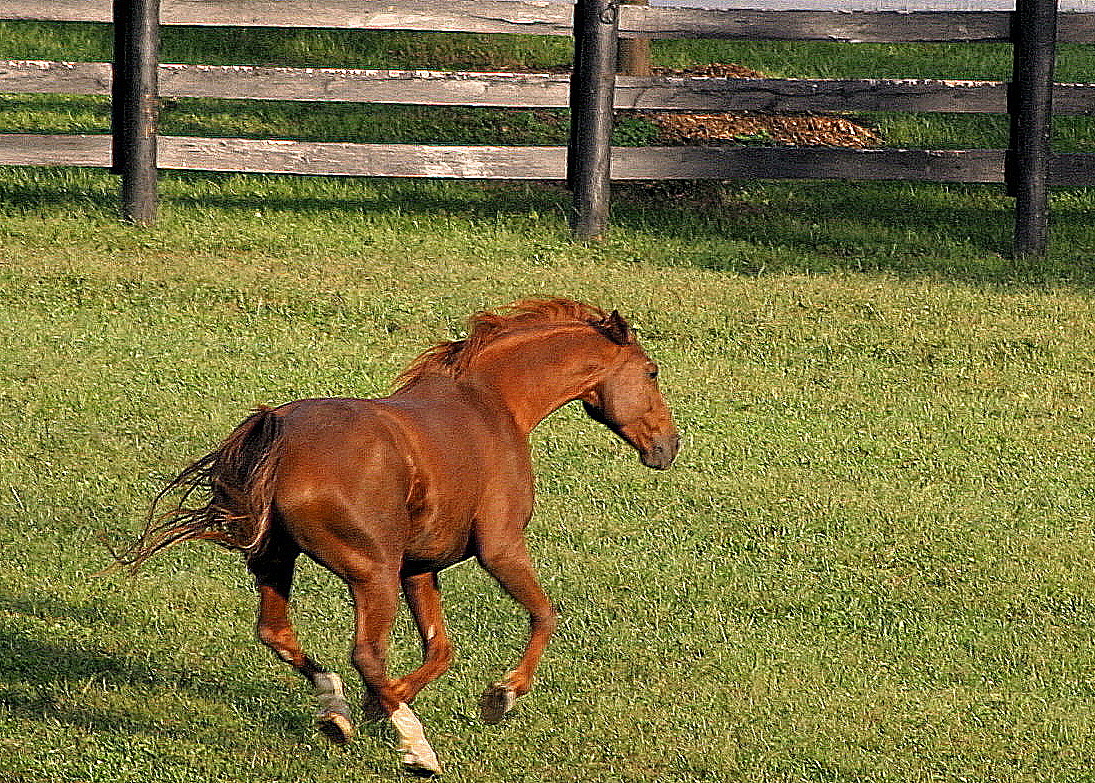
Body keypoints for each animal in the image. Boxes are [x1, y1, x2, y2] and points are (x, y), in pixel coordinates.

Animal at [119, 297, 674, 775]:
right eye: (651, 372)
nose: (669, 446)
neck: (492, 404)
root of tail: (279, 434)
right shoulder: (500, 549)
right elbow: (544, 616)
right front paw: (502, 695)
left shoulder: (420, 567)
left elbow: (440, 651)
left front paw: (375, 707)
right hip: (372, 573)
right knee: (364, 653)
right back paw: (417, 749)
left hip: (279, 561)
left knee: (279, 635)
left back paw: (338, 711)